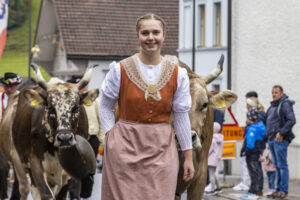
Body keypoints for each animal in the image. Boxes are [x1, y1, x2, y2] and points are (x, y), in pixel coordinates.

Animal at [0, 65, 99, 199]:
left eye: (76, 108)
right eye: (50, 108)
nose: (64, 138)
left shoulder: (69, 172)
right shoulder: (35, 162)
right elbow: (46, 194)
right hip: (18, 161)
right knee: (24, 188)